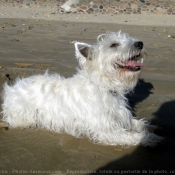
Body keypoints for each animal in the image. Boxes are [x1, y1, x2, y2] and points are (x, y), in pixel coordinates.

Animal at [1, 31, 163, 146]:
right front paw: (151, 139)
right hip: (25, 115)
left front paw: (152, 127)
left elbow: (138, 123)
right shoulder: (106, 129)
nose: (140, 43)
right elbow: (131, 135)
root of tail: (12, 88)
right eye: (113, 45)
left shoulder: (122, 116)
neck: (104, 87)